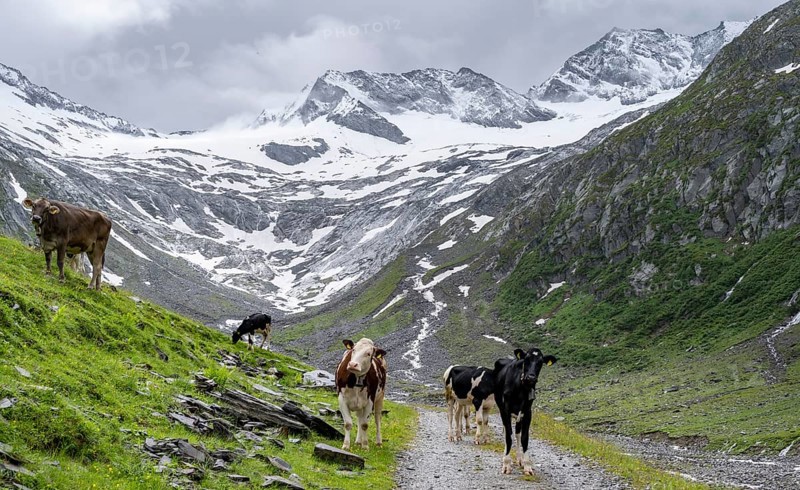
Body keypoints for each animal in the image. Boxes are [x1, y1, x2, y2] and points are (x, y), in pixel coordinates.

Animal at [494, 347, 557, 476]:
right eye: (526, 360)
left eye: (540, 362)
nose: (531, 378)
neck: (520, 388)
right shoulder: (506, 410)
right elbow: (508, 436)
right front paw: (506, 464)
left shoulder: (527, 412)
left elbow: (524, 438)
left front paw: (527, 465)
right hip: (501, 408)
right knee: (506, 431)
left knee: (517, 433)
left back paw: (519, 458)